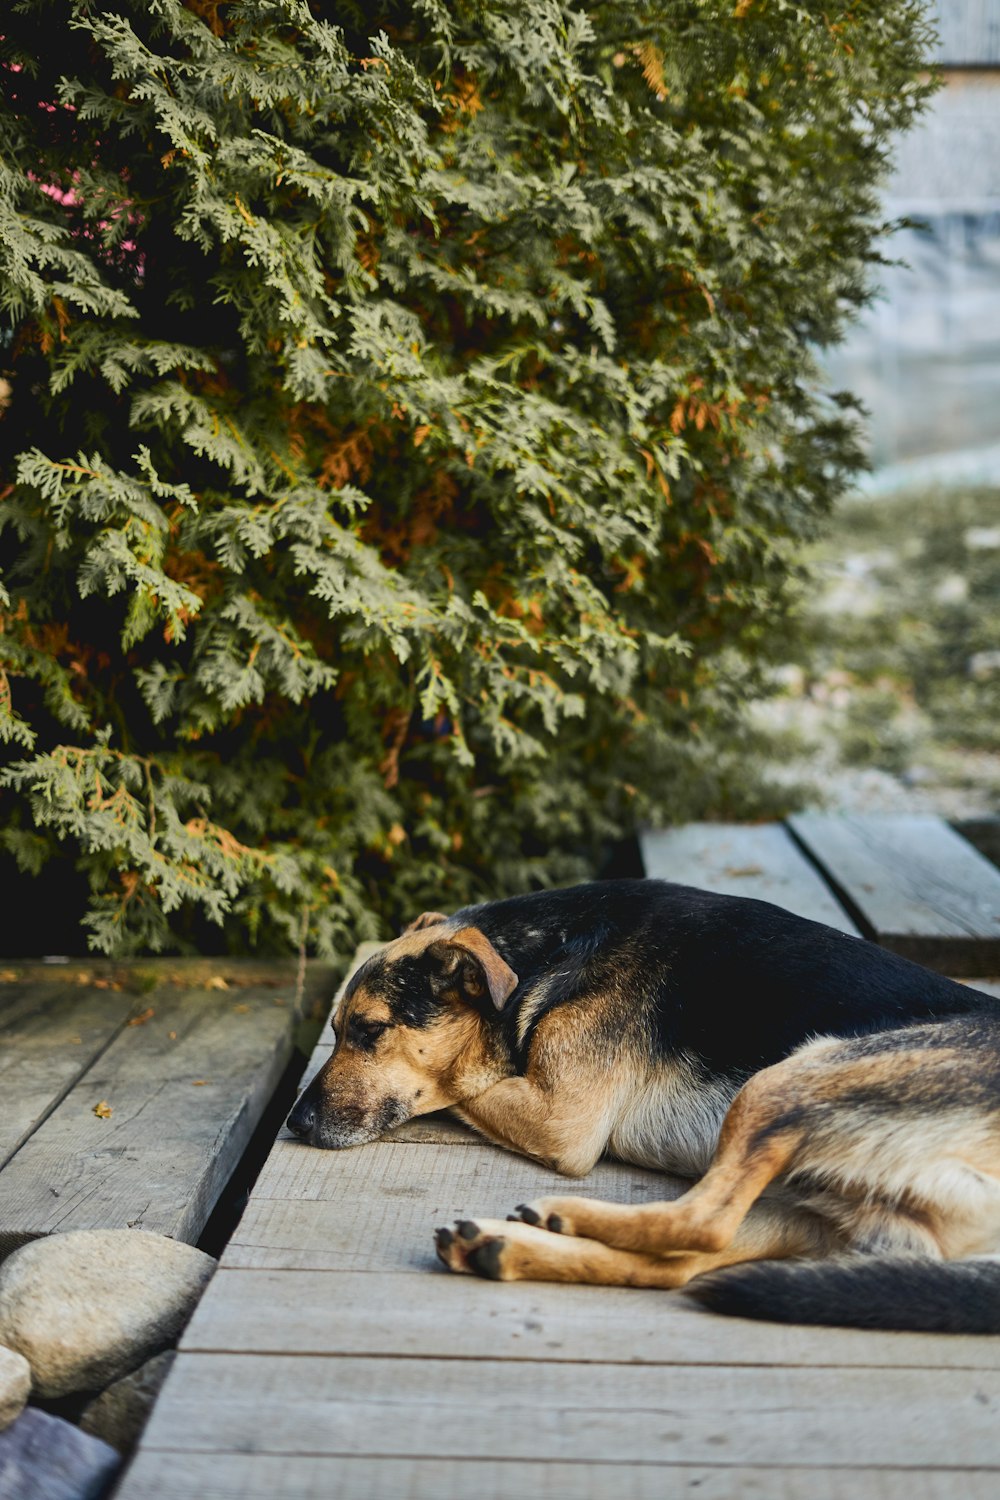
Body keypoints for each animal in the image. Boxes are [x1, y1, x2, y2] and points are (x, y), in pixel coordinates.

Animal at [283, 876, 1000, 1332]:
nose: (293, 1124)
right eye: (337, 1027)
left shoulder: (561, 1120)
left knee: (702, 1221)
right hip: (809, 1203)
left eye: (369, 1030)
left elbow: (461, 1082)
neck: (553, 951)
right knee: (679, 1264)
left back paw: (558, 1216)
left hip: (787, 1081)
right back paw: (504, 1246)